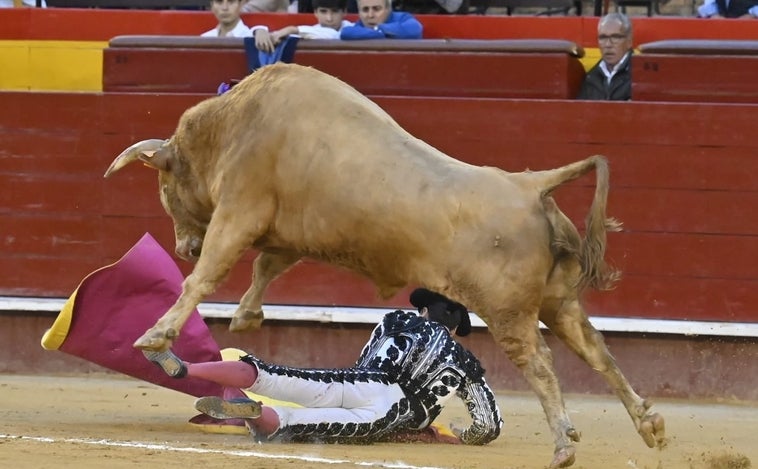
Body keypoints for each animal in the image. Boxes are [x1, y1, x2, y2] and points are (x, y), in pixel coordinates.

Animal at [102, 63, 664, 468]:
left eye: (164, 185)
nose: (183, 246)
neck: (231, 123)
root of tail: (531, 184)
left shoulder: (239, 211)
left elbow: (205, 278)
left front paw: (156, 337)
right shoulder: (288, 233)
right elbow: (267, 267)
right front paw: (246, 317)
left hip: (509, 313)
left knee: (542, 364)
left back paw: (565, 444)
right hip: (559, 302)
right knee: (599, 354)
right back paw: (647, 424)